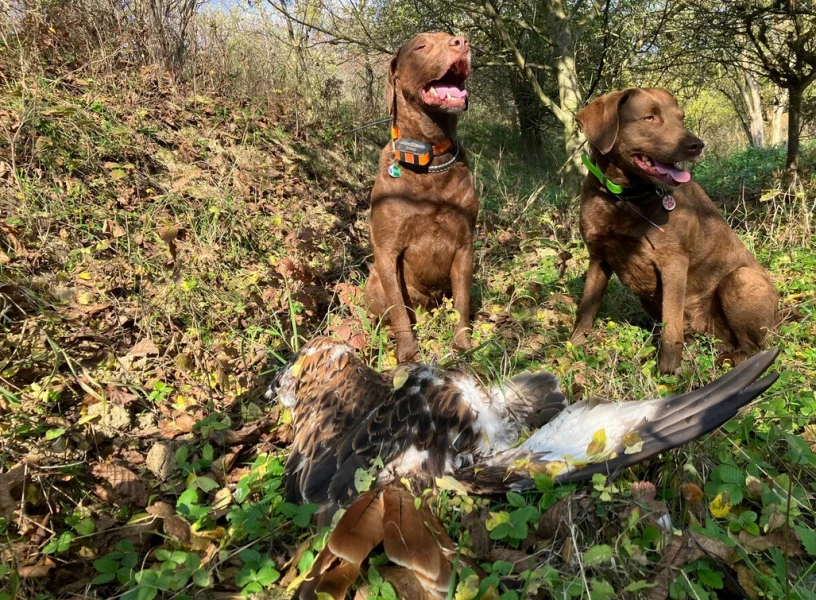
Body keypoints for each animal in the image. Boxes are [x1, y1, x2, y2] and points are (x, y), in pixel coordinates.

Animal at [364, 32, 478, 364]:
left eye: (451, 37)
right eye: (421, 46)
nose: (462, 42)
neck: (429, 158)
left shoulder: (465, 246)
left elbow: (462, 303)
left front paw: (463, 345)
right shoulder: (386, 251)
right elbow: (398, 311)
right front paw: (408, 354)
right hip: (373, 282)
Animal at [568, 88, 776, 376]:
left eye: (681, 117)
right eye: (649, 117)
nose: (696, 145)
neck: (624, 198)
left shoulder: (673, 263)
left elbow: (671, 324)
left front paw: (667, 372)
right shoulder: (599, 257)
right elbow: (586, 310)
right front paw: (572, 349)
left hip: (741, 280)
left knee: (753, 347)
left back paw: (732, 362)